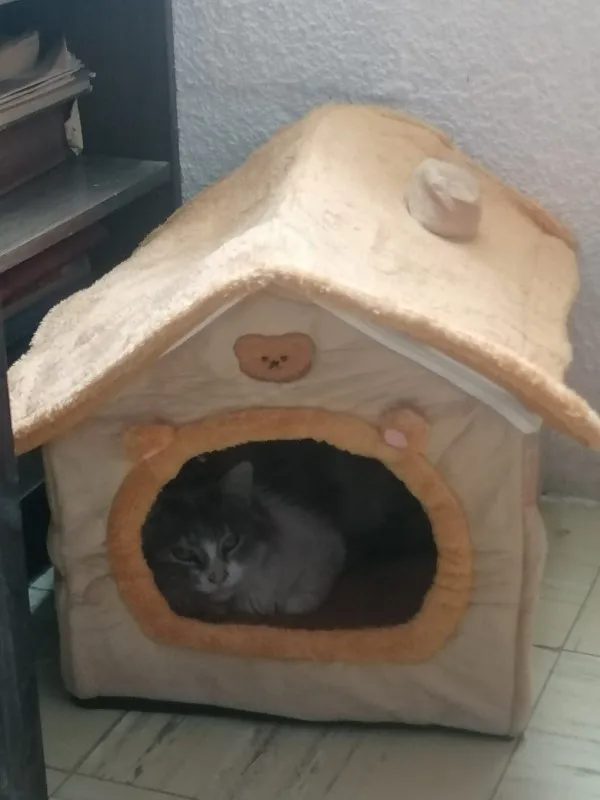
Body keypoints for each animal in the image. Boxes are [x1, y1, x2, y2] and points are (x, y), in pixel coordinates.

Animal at [142, 460, 347, 619]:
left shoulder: (323, 539)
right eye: (182, 553)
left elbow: (315, 579)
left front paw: (293, 602)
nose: (219, 577)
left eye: (230, 541)